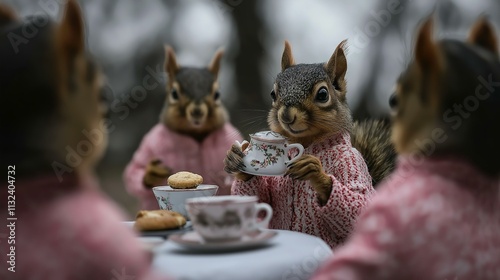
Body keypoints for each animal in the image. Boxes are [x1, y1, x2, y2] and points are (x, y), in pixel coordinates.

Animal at [124, 46, 243, 208]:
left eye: (217, 94)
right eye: (174, 93)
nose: (197, 111)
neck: (195, 134)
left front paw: (235, 158)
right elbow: (133, 171)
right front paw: (152, 172)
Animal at [224, 40, 394, 247]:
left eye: (322, 94)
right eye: (273, 93)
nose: (286, 115)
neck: (306, 142)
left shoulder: (353, 162)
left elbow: (361, 205)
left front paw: (314, 170)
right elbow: (260, 200)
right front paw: (235, 159)